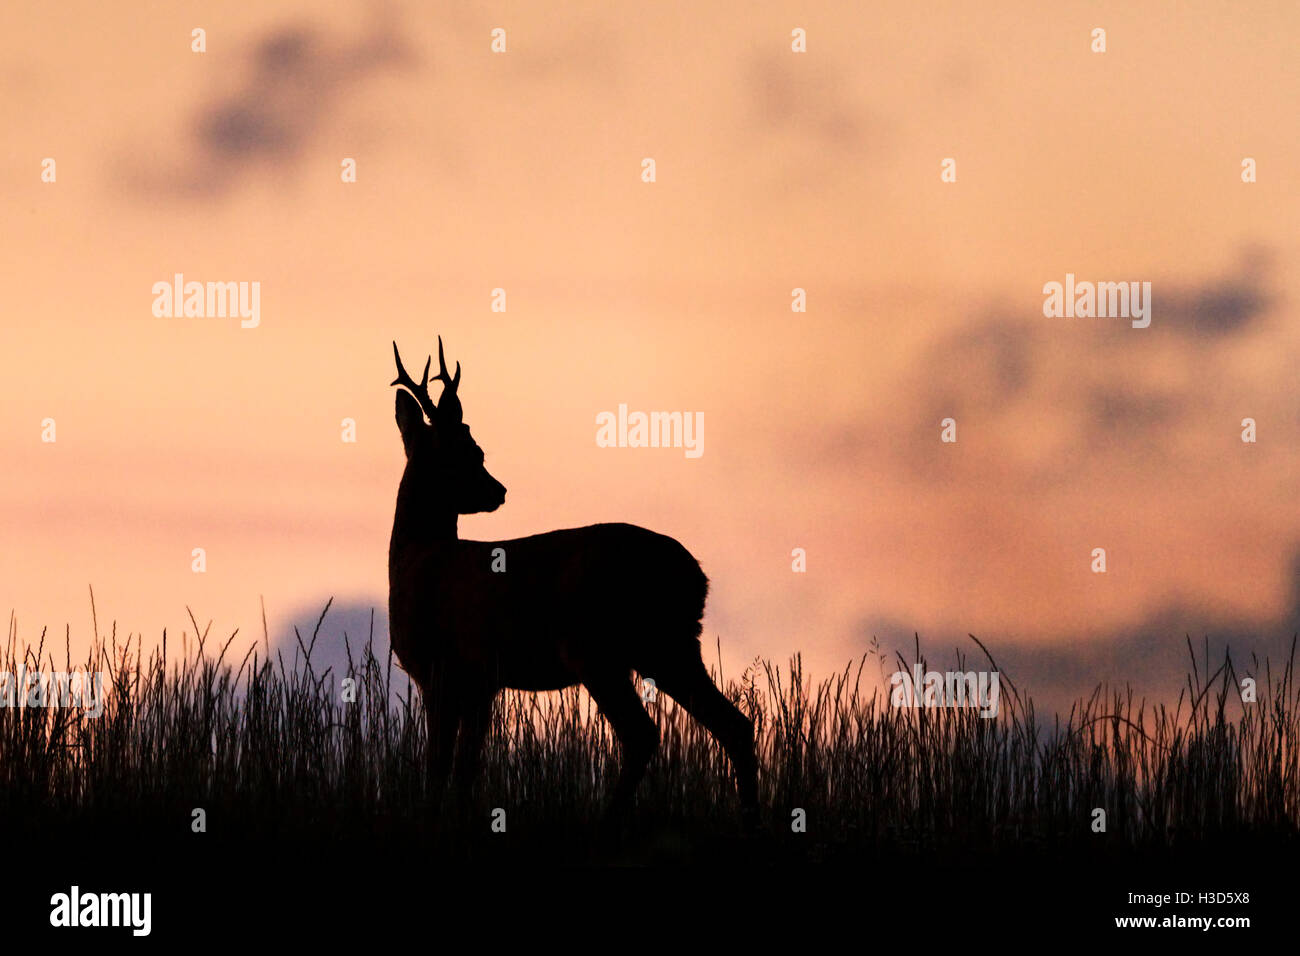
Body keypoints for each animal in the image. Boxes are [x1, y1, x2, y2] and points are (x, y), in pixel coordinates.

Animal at [384, 338, 759, 822]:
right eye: (462, 453)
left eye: (477, 450)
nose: (499, 490)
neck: (416, 557)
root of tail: (695, 575)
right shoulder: (481, 681)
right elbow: (465, 766)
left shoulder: (440, 668)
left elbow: (439, 767)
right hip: (669, 646)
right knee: (735, 725)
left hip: (599, 648)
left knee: (643, 733)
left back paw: (610, 818)